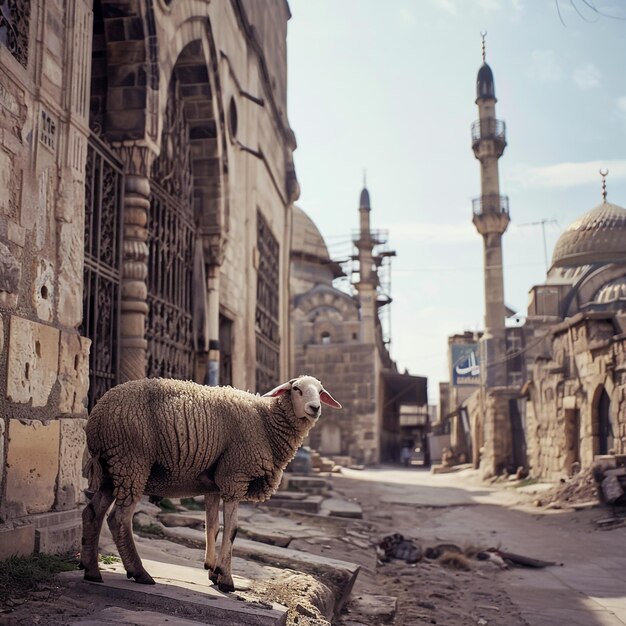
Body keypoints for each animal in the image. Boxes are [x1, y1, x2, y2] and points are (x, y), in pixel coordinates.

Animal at [80, 376, 342, 588]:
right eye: (296, 389)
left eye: (320, 391)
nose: (315, 408)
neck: (265, 421)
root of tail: (96, 417)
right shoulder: (235, 476)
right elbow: (233, 530)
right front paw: (226, 579)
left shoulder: (215, 485)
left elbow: (213, 527)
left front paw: (212, 570)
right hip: (132, 461)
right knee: (118, 519)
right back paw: (139, 572)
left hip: (113, 467)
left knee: (92, 513)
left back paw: (91, 570)